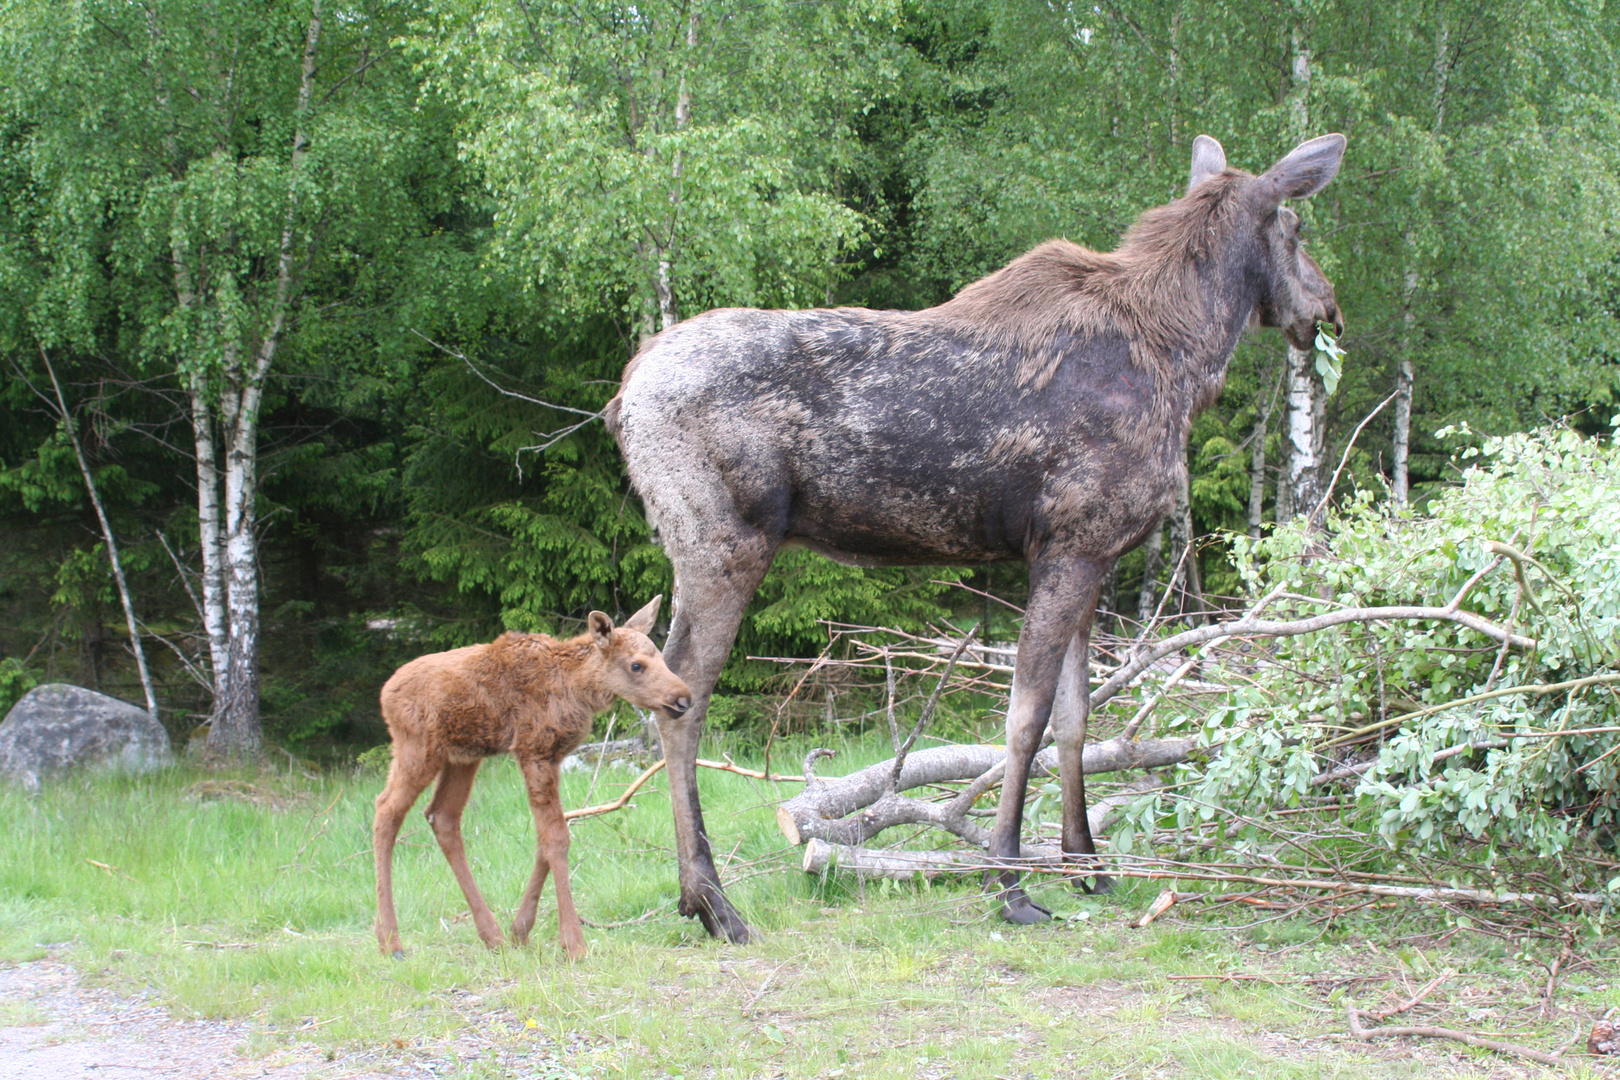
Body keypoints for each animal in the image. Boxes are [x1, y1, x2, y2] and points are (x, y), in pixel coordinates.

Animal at [372, 599, 690, 965]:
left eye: (662, 658)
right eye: (636, 665)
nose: (683, 698)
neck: (576, 687)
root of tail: (385, 694)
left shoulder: (551, 758)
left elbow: (545, 836)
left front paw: (520, 930)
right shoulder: (534, 751)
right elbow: (557, 838)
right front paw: (573, 943)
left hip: (462, 756)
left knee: (442, 816)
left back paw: (492, 935)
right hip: (418, 748)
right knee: (386, 810)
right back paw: (390, 940)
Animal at [605, 131, 1341, 939]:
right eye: (1296, 228)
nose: (1329, 308)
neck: (1185, 362)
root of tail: (622, 395)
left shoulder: (1093, 556)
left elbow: (1077, 719)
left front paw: (1088, 864)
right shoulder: (1071, 544)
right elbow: (1023, 721)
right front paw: (1009, 881)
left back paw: (695, 896)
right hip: (725, 541)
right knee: (684, 694)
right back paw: (713, 900)